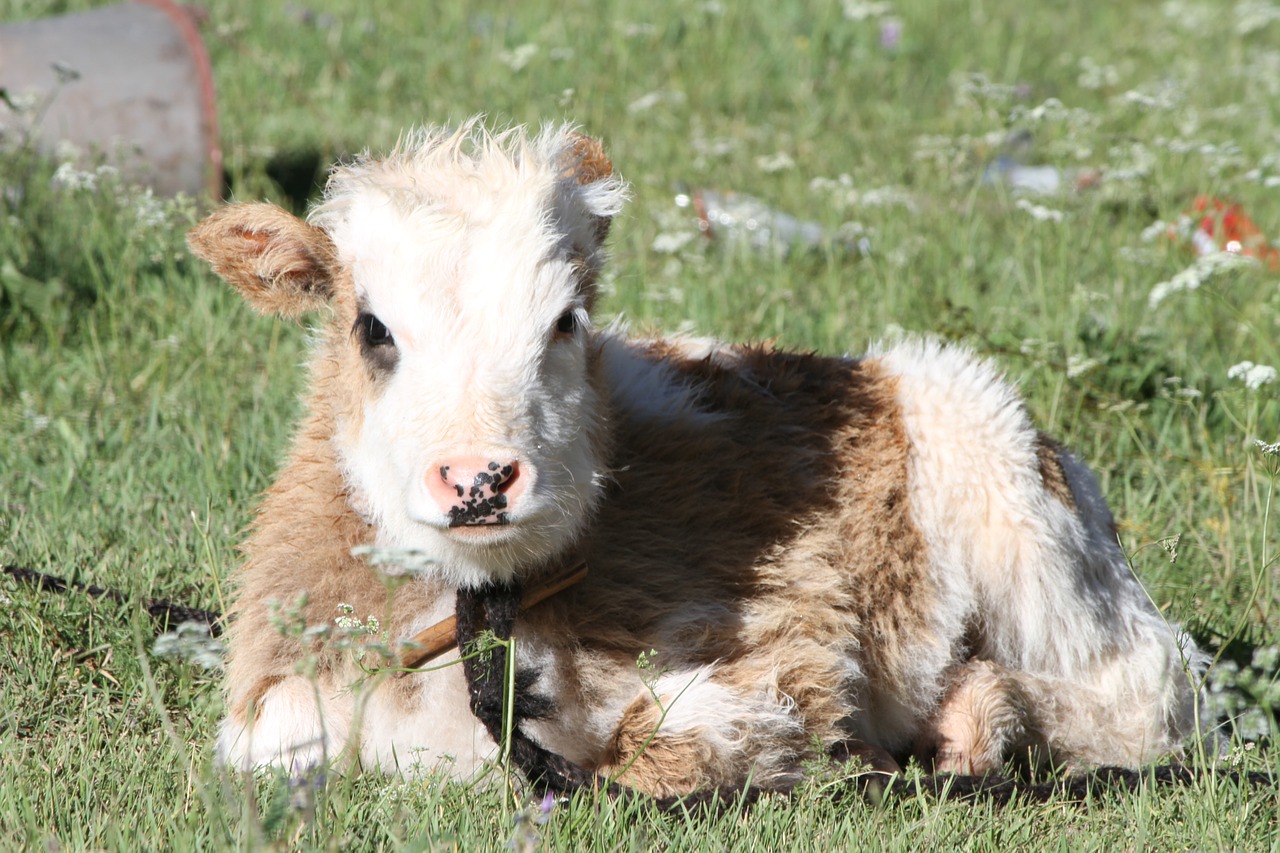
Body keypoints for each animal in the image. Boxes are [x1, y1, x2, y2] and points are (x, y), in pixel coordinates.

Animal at [185, 117, 1203, 788]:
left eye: (566, 321)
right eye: (370, 327)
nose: (479, 479)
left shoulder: (788, 651)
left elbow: (668, 739)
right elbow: (275, 736)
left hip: (1020, 517)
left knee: (1154, 691)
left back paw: (979, 720)